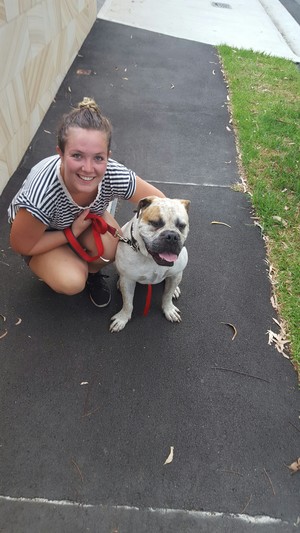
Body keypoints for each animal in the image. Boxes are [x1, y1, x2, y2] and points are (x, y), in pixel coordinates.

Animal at [110, 195, 190, 332]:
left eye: (181, 226)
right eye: (155, 223)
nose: (172, 236)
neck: (151, 258)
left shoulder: (176, 274)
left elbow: (167, 296)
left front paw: (169, 309)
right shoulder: (128, 280)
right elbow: (128, 303)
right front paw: (123, 318)